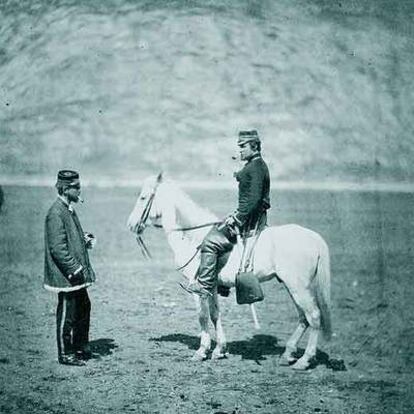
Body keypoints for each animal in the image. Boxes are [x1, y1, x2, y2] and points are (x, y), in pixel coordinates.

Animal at [128, 173, 332, 370]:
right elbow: (214, 314)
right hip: (293, 287)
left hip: (298, 287)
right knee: (303, 318)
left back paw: (304, 360)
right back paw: (288, 354)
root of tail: (314, 238)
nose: (131, 224)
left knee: (314, 316)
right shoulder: (212, 286)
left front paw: (202, 351)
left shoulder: (198, 287)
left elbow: (202, 316)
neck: (193, 236)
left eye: (143, 197)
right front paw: (220, 350)